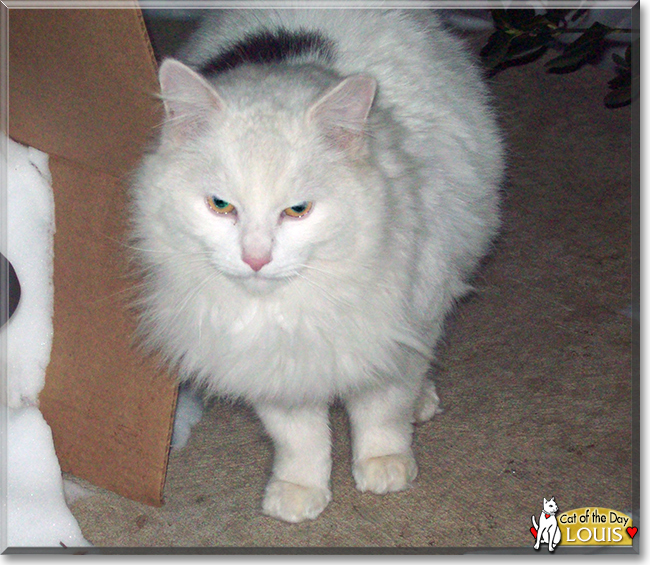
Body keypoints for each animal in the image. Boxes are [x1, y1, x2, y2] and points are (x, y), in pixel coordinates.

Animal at [129, 8, 504, 524]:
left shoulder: (394, 329)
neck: (290, 310)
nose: (256, 258)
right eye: (221, 205)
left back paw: (422, 403)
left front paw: (384, 463)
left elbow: (382, 406)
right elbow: (299, 436)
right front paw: (299, 489)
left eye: (298, 210)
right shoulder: (271, 364)